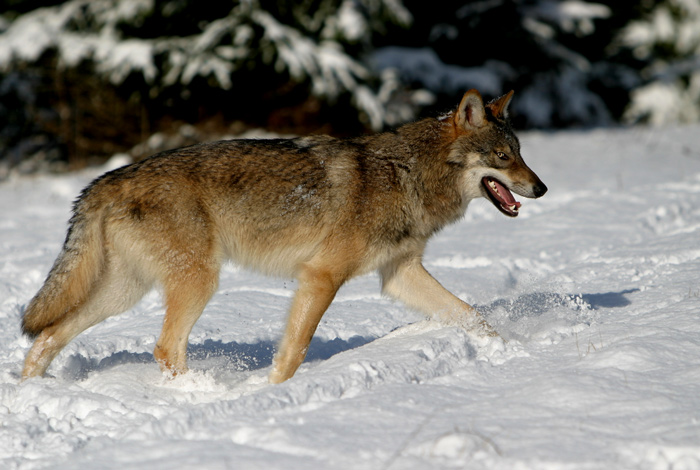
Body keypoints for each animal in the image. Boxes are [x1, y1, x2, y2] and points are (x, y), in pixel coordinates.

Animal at [19, 90, 548, 384]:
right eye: (503, 157)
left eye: (521, 153)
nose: (541, 187)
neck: (407, 175)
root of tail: (104, 181)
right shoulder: (321, 276)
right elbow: (294, 350)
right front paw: (275, 391)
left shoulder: (399, 273)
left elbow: (473, 316)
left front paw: (506, 350)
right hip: (197, 282)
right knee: (164, 349)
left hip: (123, 293)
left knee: (46, 335)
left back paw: (30, 391)